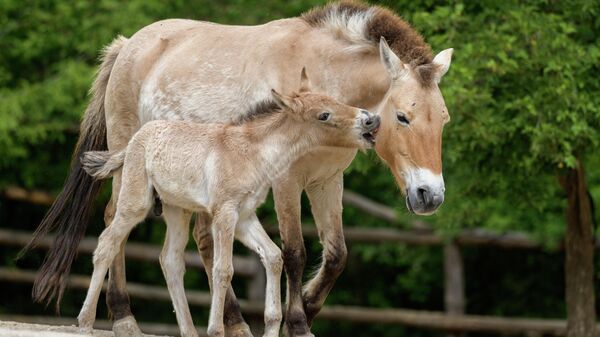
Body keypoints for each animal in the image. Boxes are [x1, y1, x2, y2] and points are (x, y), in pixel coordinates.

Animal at [76, 73, 380, 336]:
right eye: (324, 115)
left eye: (335, 100)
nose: (371, 120)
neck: (252, 153)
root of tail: (134, 141)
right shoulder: (225, 213)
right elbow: (224, 269)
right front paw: (216, 330)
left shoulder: (245, 217)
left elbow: (273, 256)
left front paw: (271, 326)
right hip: (135, 203)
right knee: (107, 243)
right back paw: (86, 321)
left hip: (178, 210)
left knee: (170, 260)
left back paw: (189, 331)